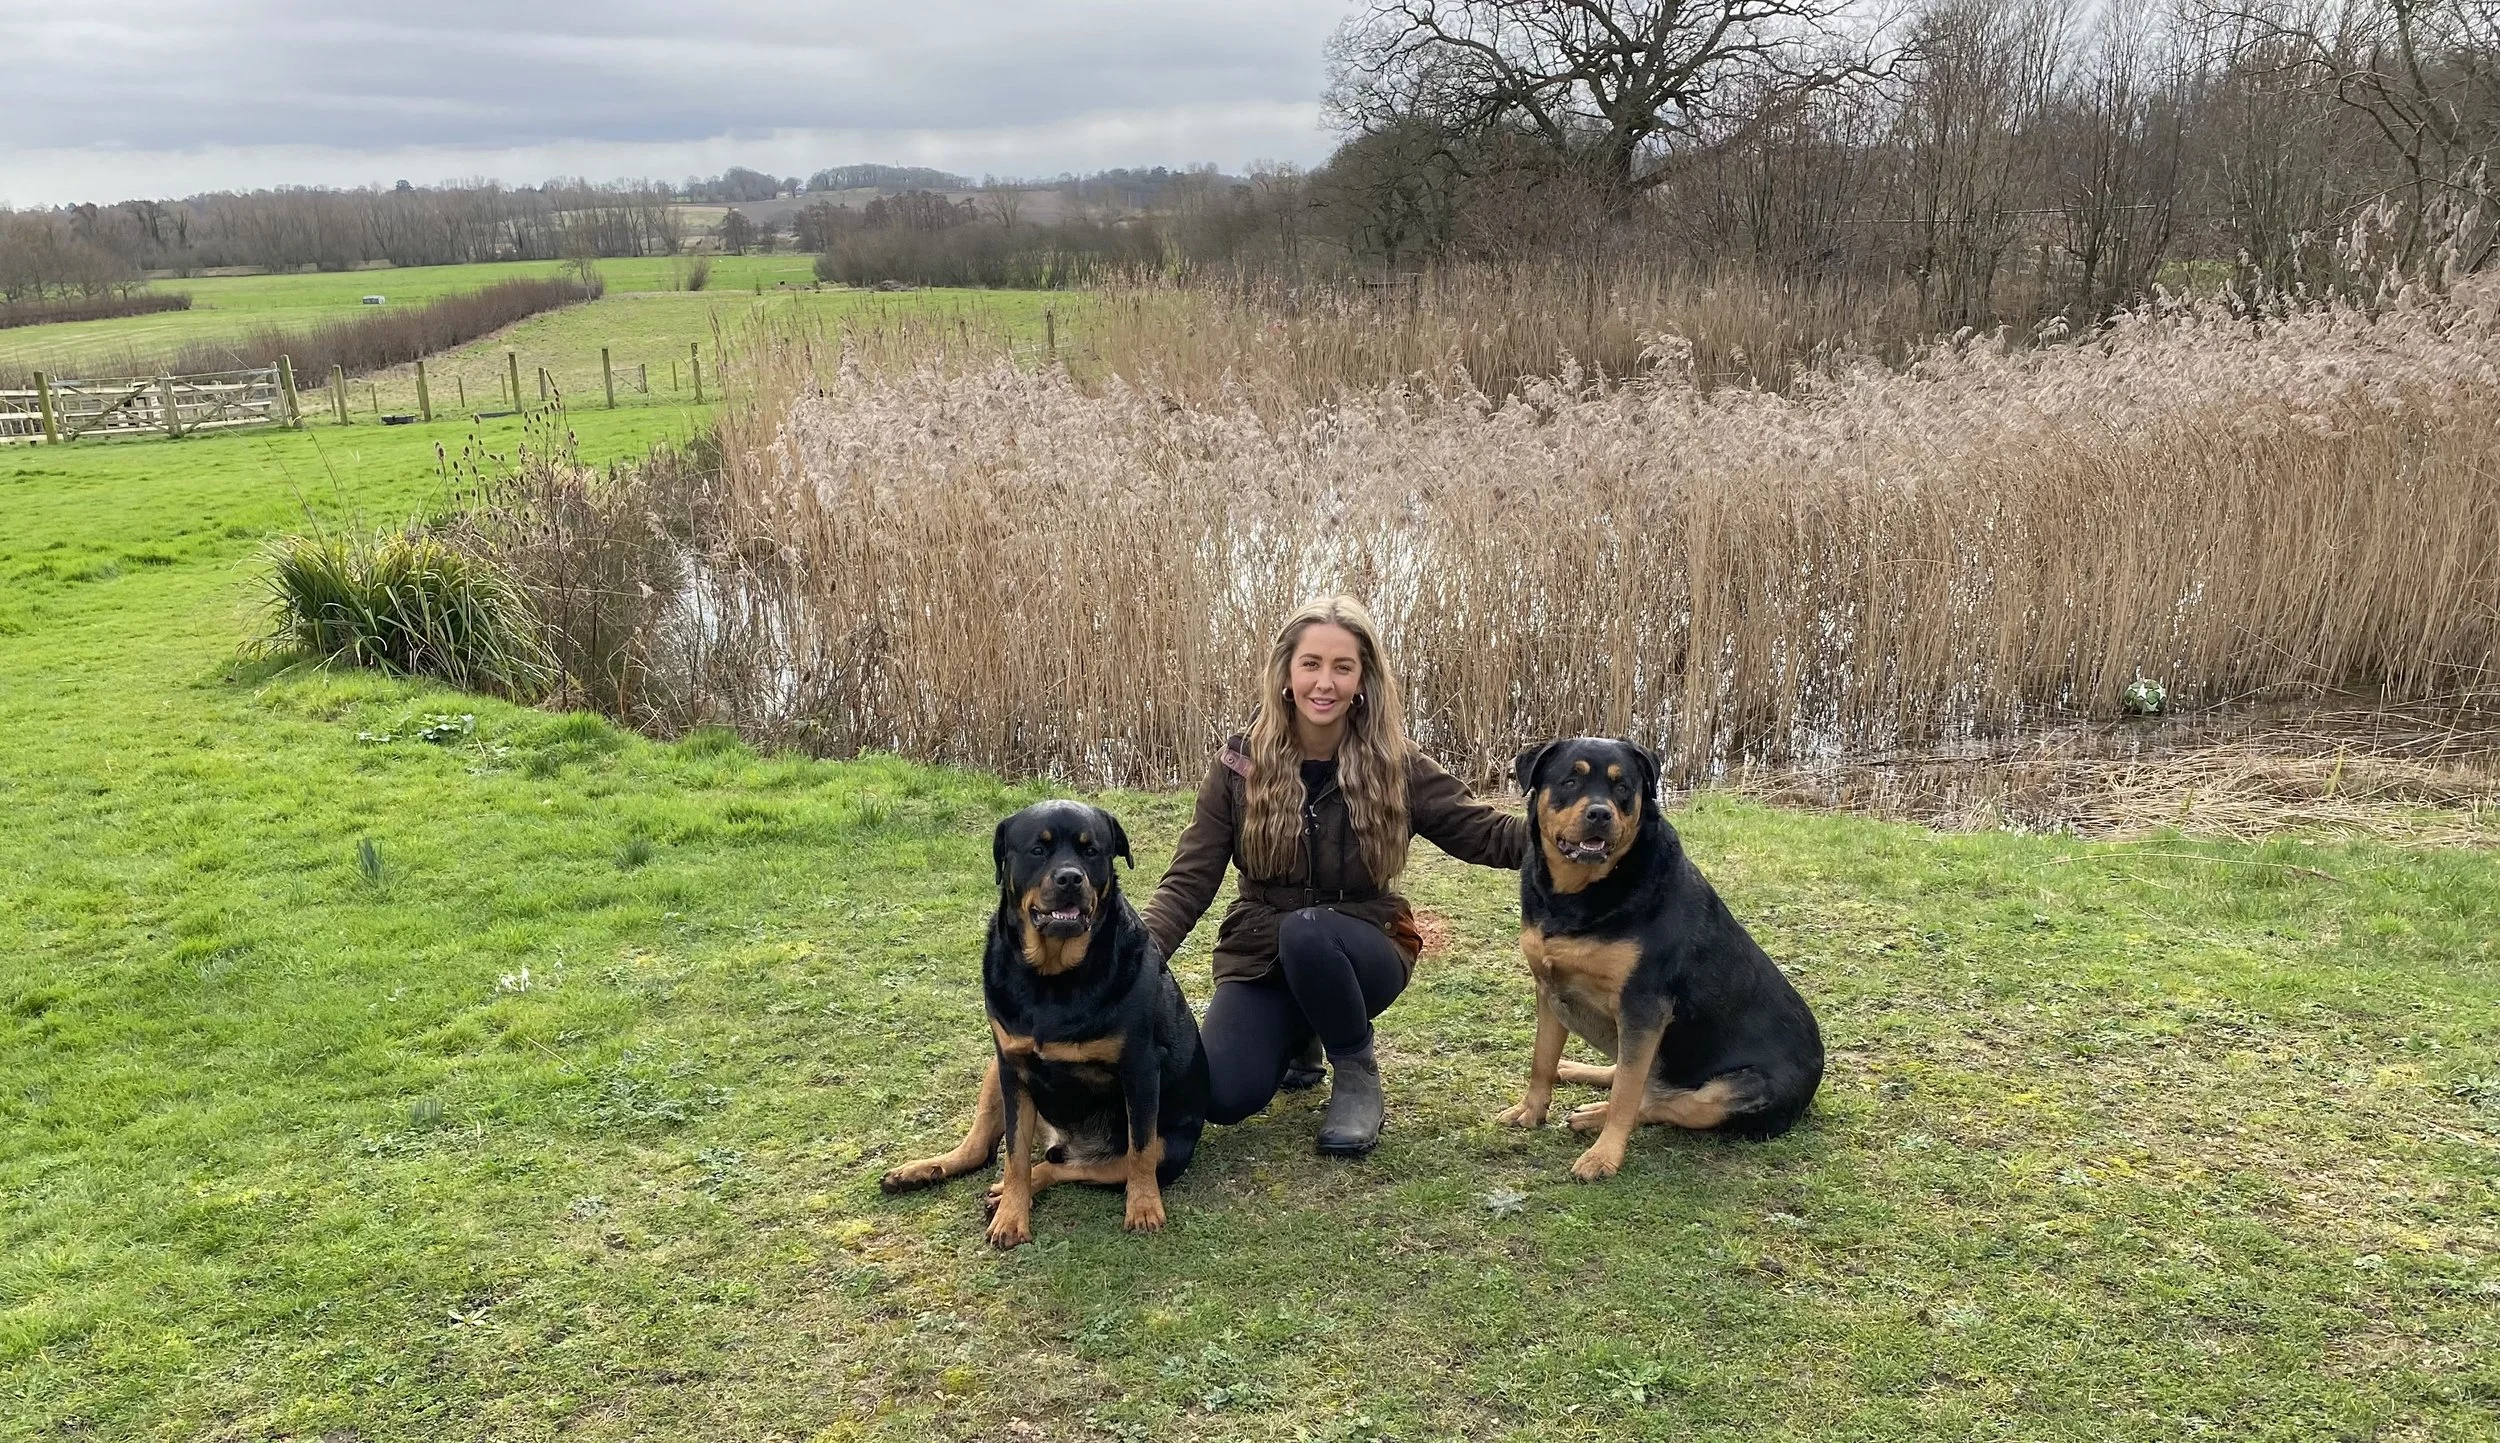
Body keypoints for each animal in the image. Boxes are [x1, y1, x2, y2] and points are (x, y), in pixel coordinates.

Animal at [878, 800, 1208, 1248]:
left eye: (1092, 851)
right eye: (1038, 850)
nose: (1070, 878)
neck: (1053, 978)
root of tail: (1064, 1142)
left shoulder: (1140, 1069)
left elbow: (1139, 1152)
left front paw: (1143, 1209)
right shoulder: (1012, 1065)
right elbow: (1014, 1155)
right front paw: (1011, 1217)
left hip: (1165, 1148)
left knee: (1066, 1166)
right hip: (994, 1068)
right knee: (981, 1149)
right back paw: (921, 1172)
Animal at [1499, 737, 1823, 1180]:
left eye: (1622, 788)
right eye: (1570, 781)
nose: (1600, 813)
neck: (1579, 894)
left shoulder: (1643, 1006)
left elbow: (1627, 1096)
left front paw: (1603, 1156)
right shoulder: (1550, 990)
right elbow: (1542, 1060)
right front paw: (1530, 1111)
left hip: (1733, 1091)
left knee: (1657, 1101)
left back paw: (1592, 1116)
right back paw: (1578, 1072)